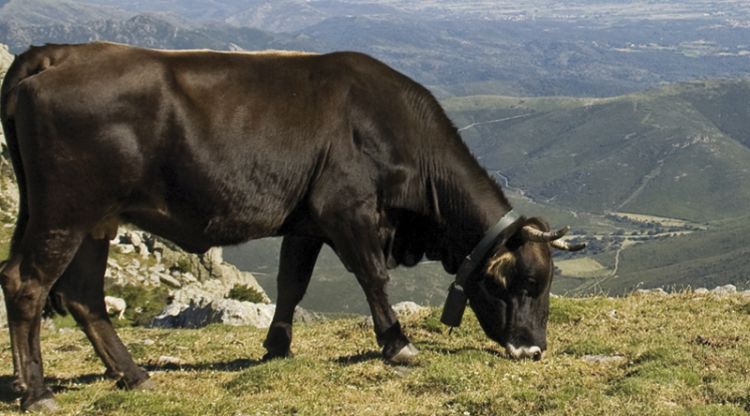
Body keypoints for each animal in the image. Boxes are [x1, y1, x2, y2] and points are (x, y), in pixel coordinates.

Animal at [0, 40, 584, 412]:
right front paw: (398, 343)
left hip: (94, 220)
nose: (534, 350)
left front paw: (277, 345)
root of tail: (58, 53)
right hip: (66, 210)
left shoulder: (305, 222)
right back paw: (38, 393)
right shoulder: (345, 210)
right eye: (527, 282)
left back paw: (134, 375)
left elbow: (291, 283)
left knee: (82, 295)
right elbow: (373, 277)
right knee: (27, 283)